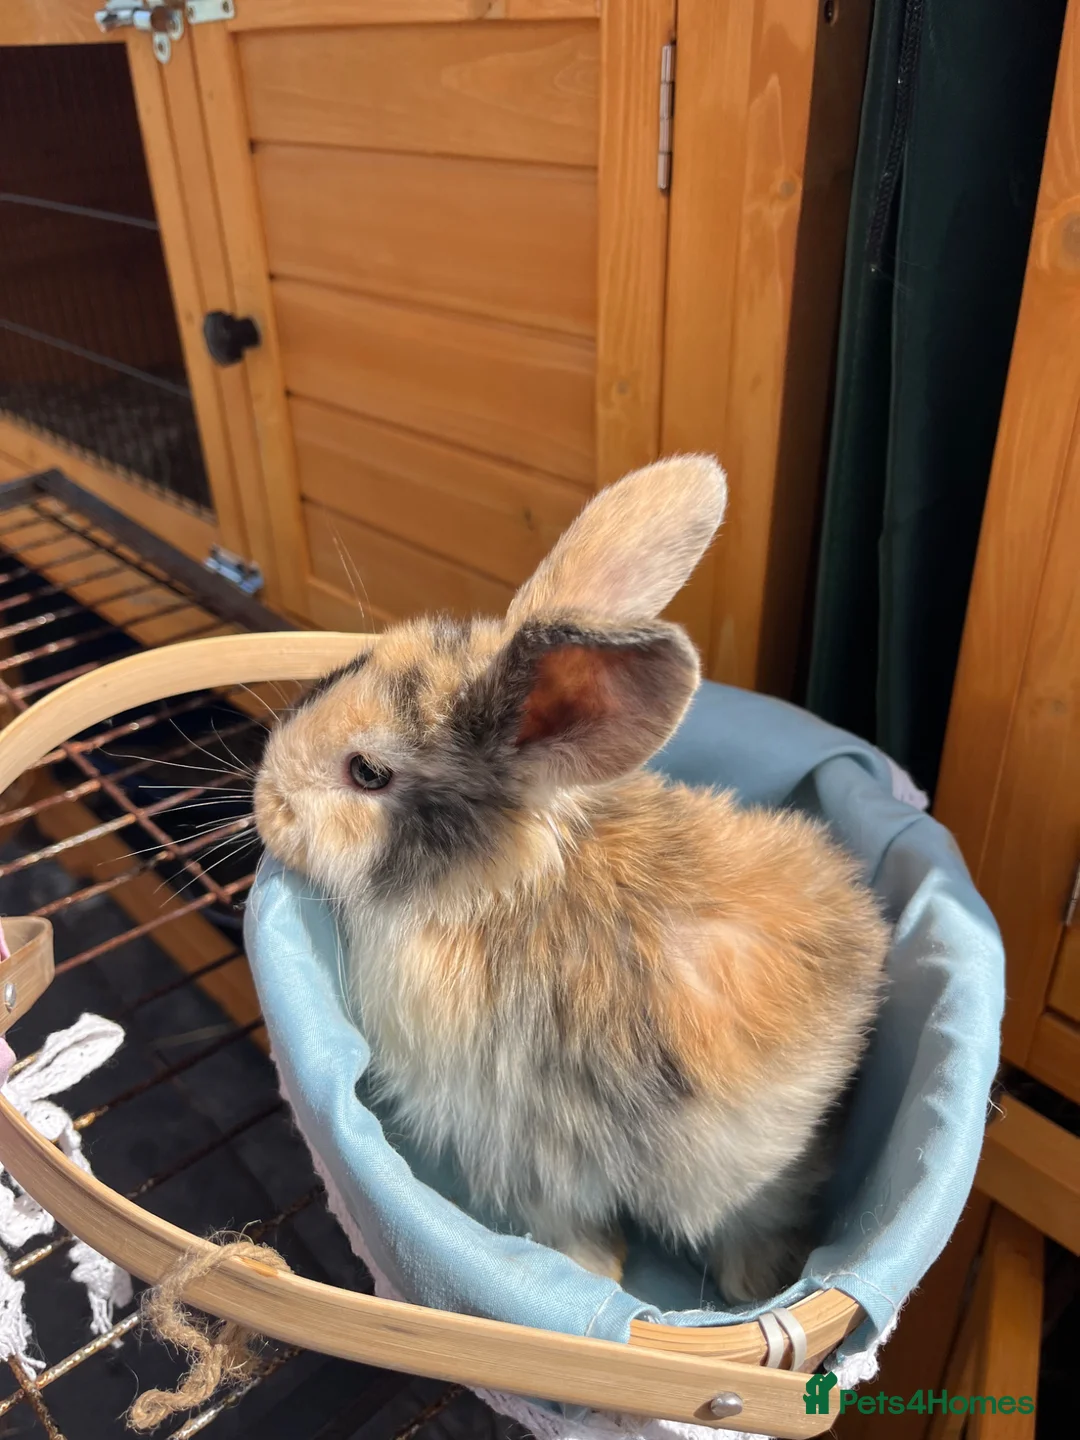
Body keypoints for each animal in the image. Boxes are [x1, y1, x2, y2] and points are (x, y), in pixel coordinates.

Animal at [254, 456, 889, 1301]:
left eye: (367, 773)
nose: (264, 796)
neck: (487, 893)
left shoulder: (523, 1142)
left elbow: (566, 1224)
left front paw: (591, 1271)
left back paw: (750, 1286)